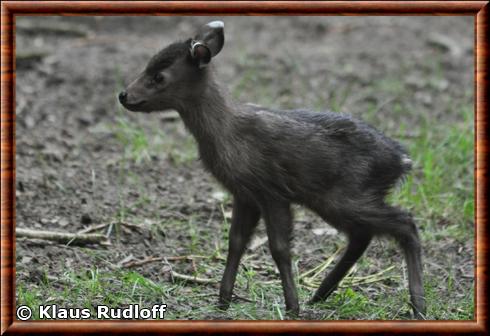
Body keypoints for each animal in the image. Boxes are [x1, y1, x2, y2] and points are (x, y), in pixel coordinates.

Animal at [118, 19, 424, 318]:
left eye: (159, 76)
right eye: (148, 65)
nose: (123, 95)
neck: (226, 134)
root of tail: (402, 160)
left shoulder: (271, 190)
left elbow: (279, 248)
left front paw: (292, 307)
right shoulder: (245, 194)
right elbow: (236, 242)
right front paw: (223, 302)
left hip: (346, 195)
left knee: (404, 223)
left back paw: (417, 305)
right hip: (339, 200)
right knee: (363, 234)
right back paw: (320, 294)